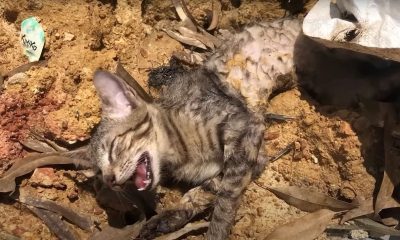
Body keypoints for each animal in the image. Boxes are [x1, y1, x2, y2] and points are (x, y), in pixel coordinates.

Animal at [90, 17, 304, 239]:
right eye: (99, 169)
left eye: (113, 149)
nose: (109, 181)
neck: (177, 155)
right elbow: (205, 190)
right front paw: (167, 219)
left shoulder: (248, 135)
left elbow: (225, 199)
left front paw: (216, 231)